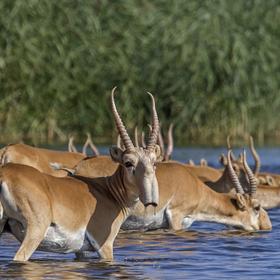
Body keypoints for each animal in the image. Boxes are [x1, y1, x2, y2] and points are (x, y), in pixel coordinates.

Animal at [0, 88, 162, 262]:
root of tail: (4, 174)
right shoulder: (104, 245)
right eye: (128, 162)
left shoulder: (80, 250)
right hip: (35, 231)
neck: (109, 193)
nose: (151, 199)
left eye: (154, 162)